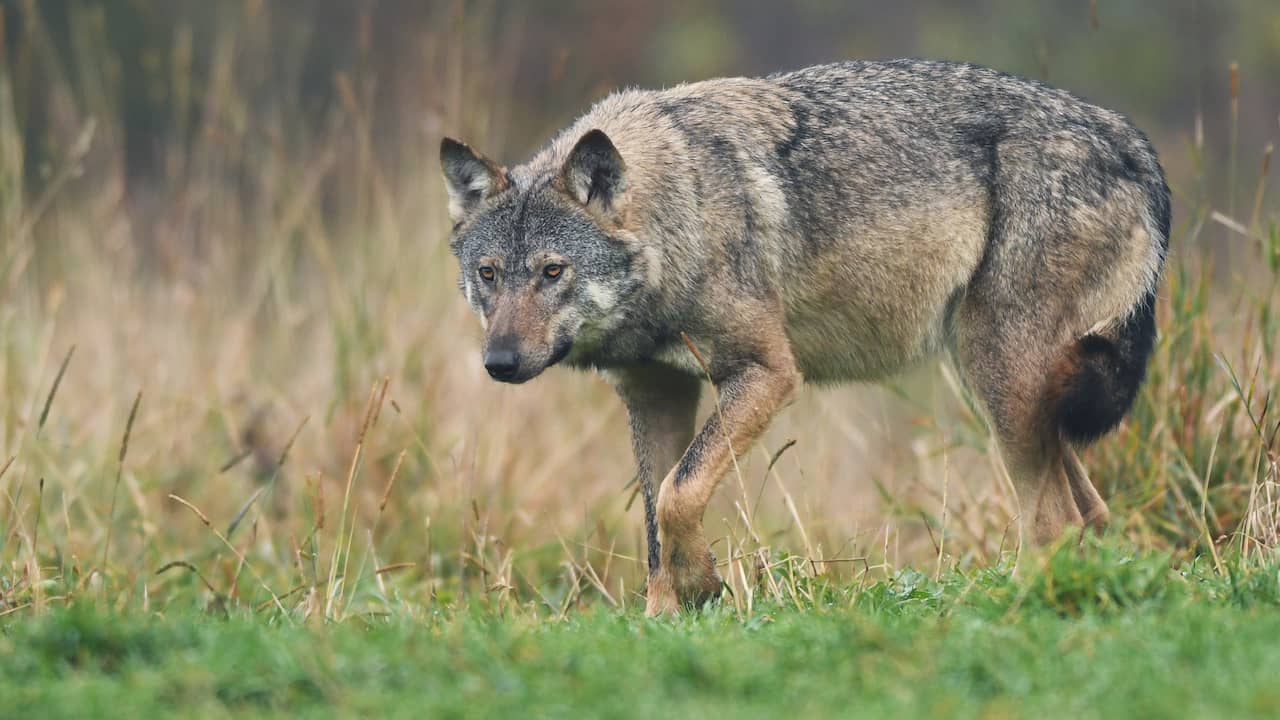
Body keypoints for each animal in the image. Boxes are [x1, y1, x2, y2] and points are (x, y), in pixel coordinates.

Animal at [439, 59, 1169, 615]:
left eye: (552, 271)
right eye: (489, 274)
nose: (499, 362)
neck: (684, 211)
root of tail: (1129, 137)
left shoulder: (766, 373)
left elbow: (679, 493)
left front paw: (702, 587)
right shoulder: (653, 393)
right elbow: (655, 517)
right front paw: (663, 619)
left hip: (1001, 381)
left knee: (1054, 521)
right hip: (1004, 389)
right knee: (1090, 515)